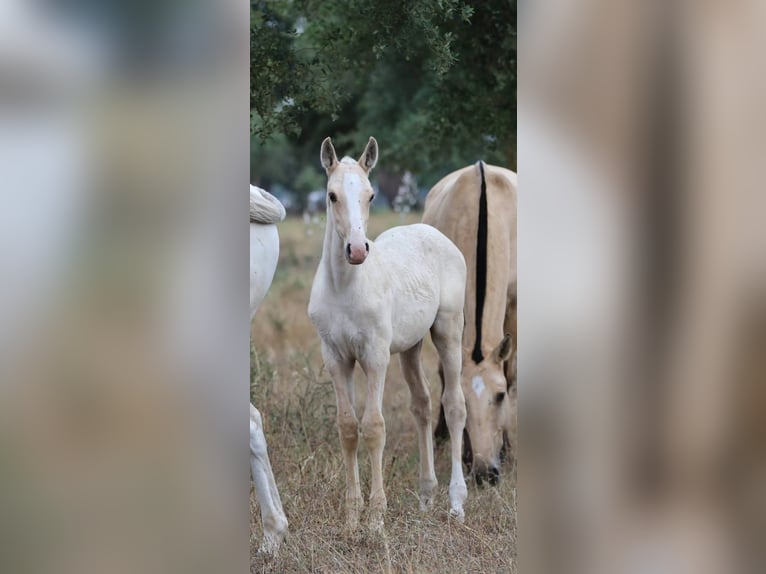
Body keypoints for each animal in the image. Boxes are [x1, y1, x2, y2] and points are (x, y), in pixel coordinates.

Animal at [308, 137, 472, 532]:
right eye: (331, 195)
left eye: (370, 195)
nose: (356, 250)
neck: (346, 287)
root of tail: (435, 233)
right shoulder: (336, 358)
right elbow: (348, 428)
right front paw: (352, 518)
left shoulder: (375, 356)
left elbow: (374, 426)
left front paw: (376, 519)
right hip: (411, 346)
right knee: (423, 404)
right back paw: (426, 496)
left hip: (448, 331)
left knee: (454, 405)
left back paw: (456, 503)